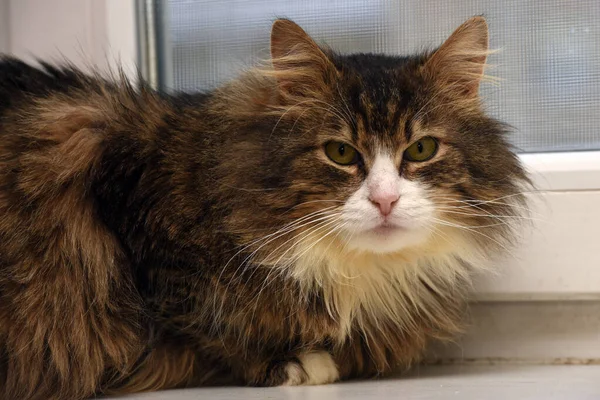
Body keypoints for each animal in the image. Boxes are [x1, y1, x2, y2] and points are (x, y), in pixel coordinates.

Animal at [0, 16, 528, 400]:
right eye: (340, 153)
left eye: (421, 149)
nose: (385, 199)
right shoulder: (127, 209)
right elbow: (208, 326)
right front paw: (295, 364)